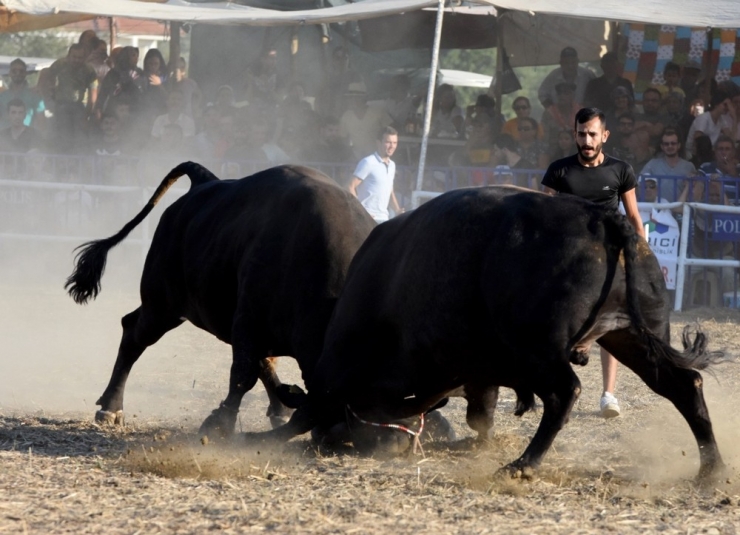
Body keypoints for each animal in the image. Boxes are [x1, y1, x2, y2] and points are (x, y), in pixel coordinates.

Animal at [268, 185, 724, 482]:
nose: (328, 440)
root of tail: (605, 222)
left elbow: (308, 410)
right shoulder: (474, 373)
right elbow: (478, 411)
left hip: (541, 348)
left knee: (565, 392)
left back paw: (523, 465)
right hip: (631, 335)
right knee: (685, 384)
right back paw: (711, 468)